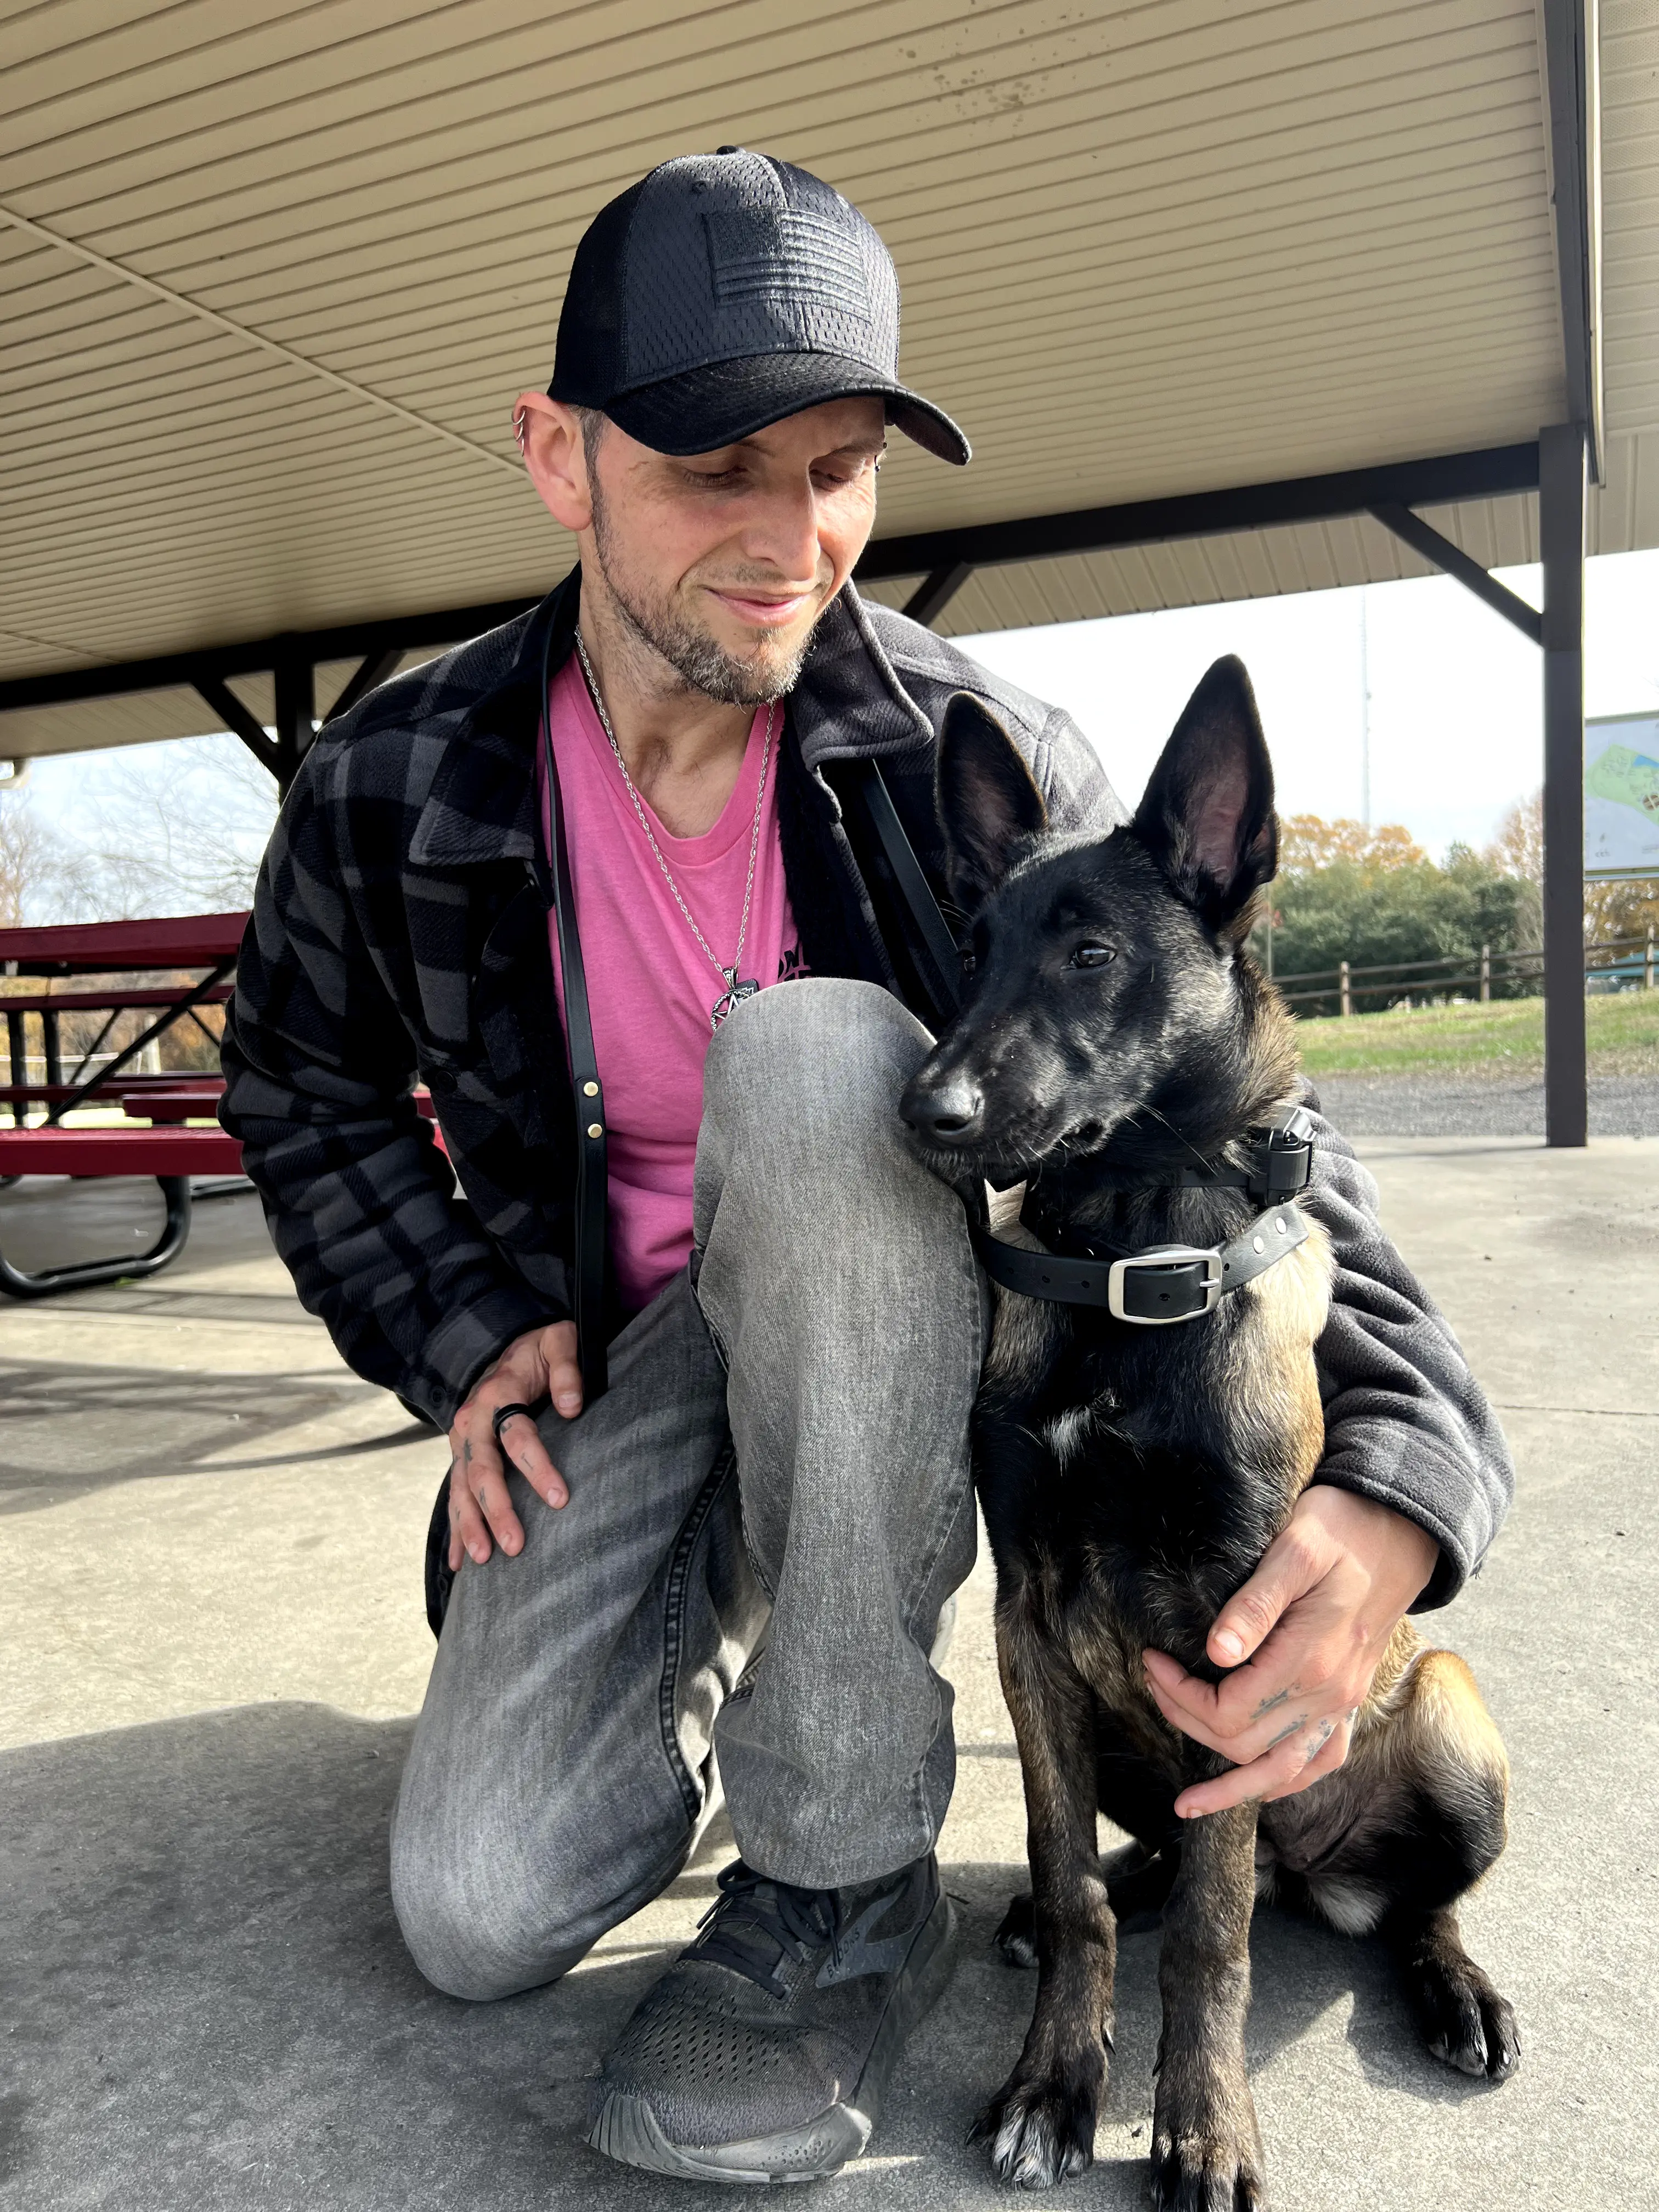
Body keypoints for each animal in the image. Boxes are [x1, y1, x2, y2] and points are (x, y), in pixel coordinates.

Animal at [902, 663, 1513, 2203]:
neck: (1128, 1261)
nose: (924, 1111)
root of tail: (1317, 1859)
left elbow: (1213, 1936)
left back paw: (1457, 1989)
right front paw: (1056, 2081)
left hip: (1449, 1720)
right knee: (1157, 1863)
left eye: (1092, 954)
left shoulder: (1244, 1653)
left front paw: (1201, 2121)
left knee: (1405, 1907)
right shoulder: (1031, 1625)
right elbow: (1073, 1881)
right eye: (973, 953)